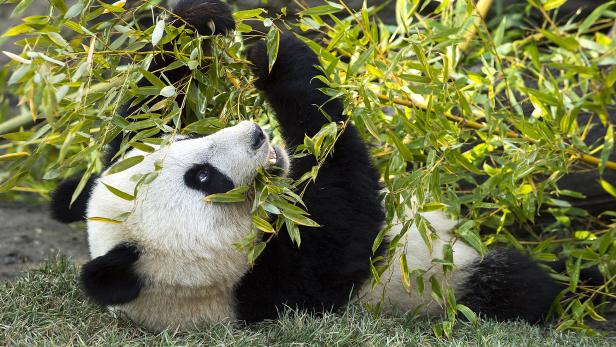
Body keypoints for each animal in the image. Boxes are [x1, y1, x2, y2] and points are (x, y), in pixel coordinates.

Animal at [49, 0, 600, 334]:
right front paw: (279, 59)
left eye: (188, 139)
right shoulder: (284, 281)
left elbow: (149, 99)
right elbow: (349, 216)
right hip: (448, 281)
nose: (256, 133)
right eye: (202, 178)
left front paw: (205, 21)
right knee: (516, 285)